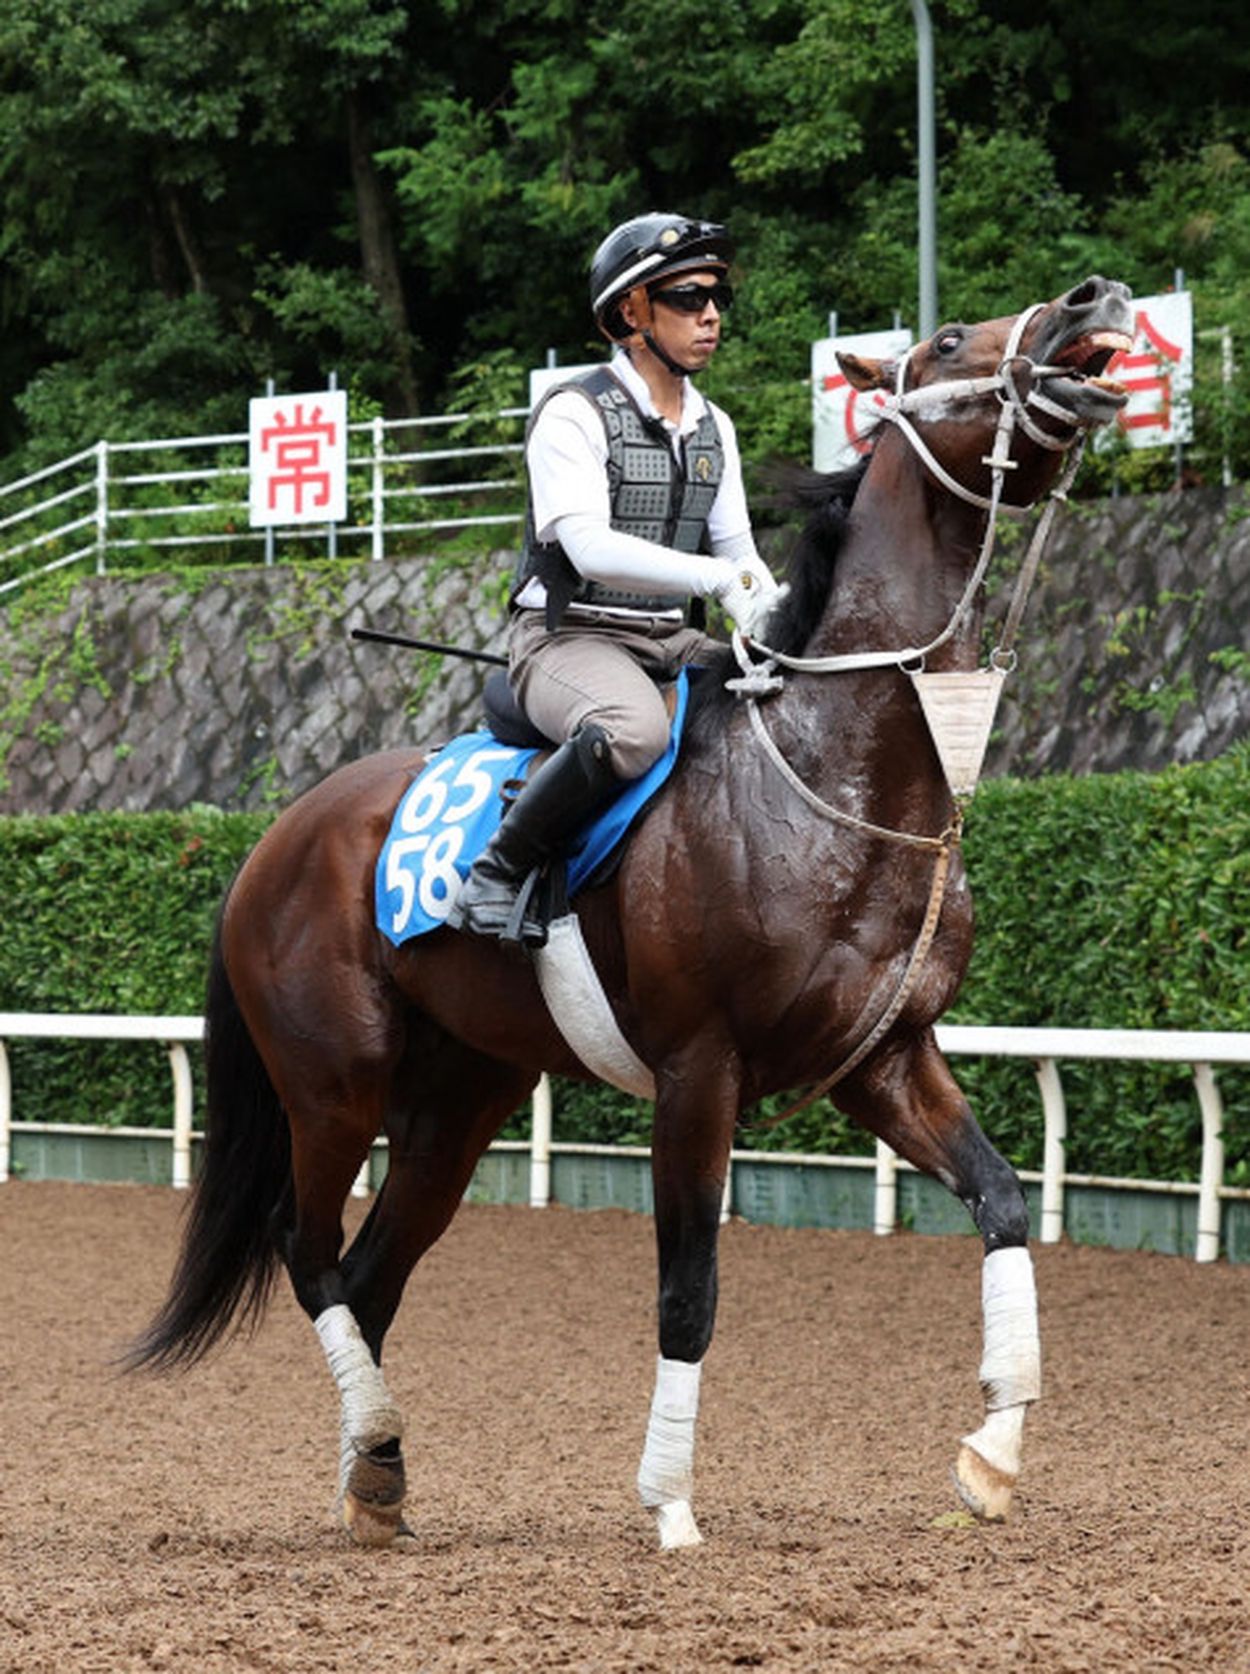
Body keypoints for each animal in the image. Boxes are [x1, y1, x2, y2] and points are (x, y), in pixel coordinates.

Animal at [132, 277, 1137, 1553]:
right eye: (949, 340)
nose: (1088, 301)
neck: (832, 777)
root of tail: (274, 840)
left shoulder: (884, 1058)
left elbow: (1003, 1204)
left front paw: (991, 1455)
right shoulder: (697, 1072)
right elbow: (686, 1290)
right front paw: (669, 1507)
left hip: (457, 1102)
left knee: (368, 1277)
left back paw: (377, 1476)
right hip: (333, 1086)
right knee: (308, 1257)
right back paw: (372, 1448)